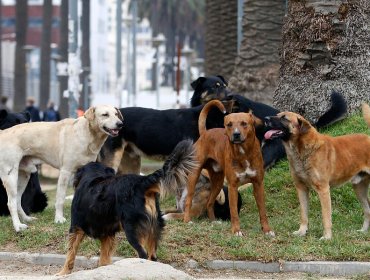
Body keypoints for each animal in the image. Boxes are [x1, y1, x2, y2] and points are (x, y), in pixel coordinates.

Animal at [57, 140, 197, 276]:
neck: (94, 177)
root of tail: (142, 182)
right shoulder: (108, 234)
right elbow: (104, 259)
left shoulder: (75, 227)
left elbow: (70, 253)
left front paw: (63, 272)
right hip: (154, 228)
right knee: (152, 257)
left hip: (132, 230)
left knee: (143, 254)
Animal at [184, 100, 274, 236]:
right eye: (229, 124)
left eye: (244, 123)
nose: (236, 134)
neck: (243, 153)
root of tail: (205, 133)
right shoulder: (233, 186)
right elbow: (234, 212)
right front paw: (236, 231)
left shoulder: (258, 184)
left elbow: (262, 211)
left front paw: (267, 230)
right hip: (194, 176)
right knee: (188, 200)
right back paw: (187, 220)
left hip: (218, 181)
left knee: (210, 202)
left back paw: (213, 221)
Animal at [264, 104, 370, 240]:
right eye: (278, 115)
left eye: (284, 118)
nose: (265, 118)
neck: (302, 151)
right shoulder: (301, 188)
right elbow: (303, 214)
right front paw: (302, 231)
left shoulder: (323, 190)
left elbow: (326, 217)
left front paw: (327, 237)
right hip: (359, 188)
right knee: (368, 210)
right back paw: (363, 231)